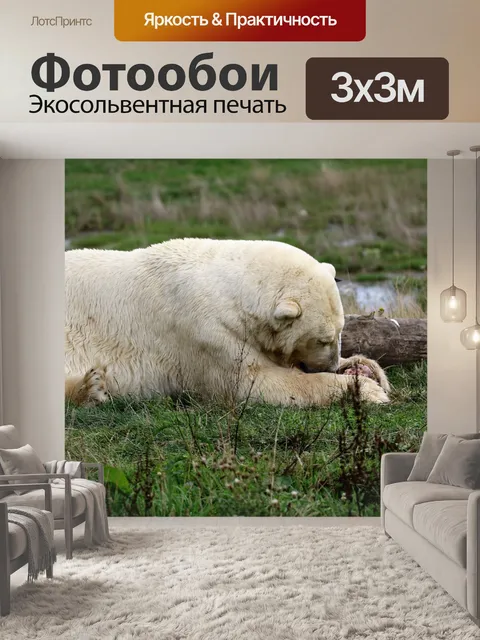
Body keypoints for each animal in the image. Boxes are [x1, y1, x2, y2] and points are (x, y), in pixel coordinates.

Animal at [65, 239, 390, 408]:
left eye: (340, 332)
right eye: (322, 339)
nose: (331, 365)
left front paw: (364, 369)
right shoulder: (203, 330)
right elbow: (253, 383)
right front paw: (366, 390)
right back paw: (91, 387)